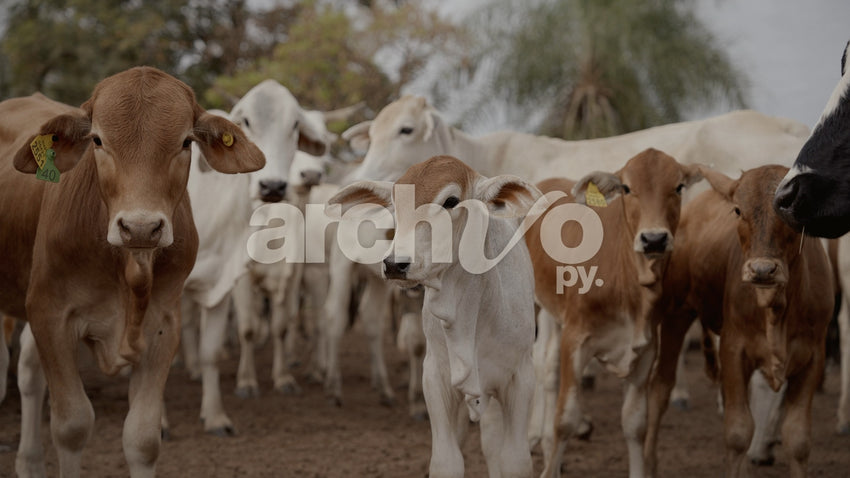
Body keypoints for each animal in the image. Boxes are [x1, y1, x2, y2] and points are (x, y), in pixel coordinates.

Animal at [0, 67, 264, 477]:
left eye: (185, 141)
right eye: (97, 139)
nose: (141, 228)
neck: (129, 271)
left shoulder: (163, 326)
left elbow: (142, 438)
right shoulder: (50, 315)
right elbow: (72, 426)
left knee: (28, 373)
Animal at [329, 155, 541, 478]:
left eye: (451, 201)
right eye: (395, 201)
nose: (395, 264)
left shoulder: (520, 378)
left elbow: (514, 460)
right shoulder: (435, 378)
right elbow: (446, 460)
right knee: (336, 320)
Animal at [526, 148, 702, 478]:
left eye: (678, 187)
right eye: (627, 188)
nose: (654, 239)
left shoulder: (646, 349)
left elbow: (635, 424)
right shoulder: (576, 339)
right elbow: (565, 419)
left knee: (548, 366)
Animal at [645, 165, 833, 478]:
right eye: (737, 209)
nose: (762, 269)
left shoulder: (813, 356)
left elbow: (797, 439)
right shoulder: (734, 349)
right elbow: (737, 433)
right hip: (676, 314)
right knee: (660, 388)